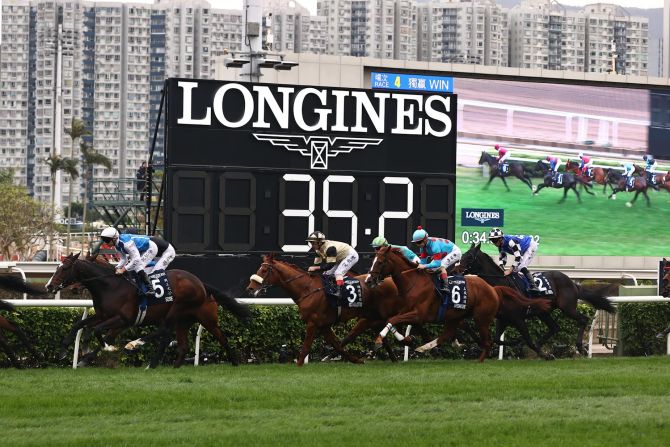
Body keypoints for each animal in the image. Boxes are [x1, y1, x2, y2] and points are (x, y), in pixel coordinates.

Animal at [46, 253, 251, 368]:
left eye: (64, 268)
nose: (49, 286)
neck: (110, 285)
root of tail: (202, 284)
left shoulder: (122, 319)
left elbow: (98, 333)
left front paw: (95, 352)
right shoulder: (104, 315)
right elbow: (80, 325)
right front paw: (65, 351)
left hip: (190, 313)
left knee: (214, 336)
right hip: (183, 321)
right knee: (181, 343)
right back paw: (166, 365)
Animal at [246, 254, 427, 366]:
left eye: (264, 270)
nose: (250, 288)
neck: (307, 289)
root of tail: (389, 280)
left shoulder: (313, 322)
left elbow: (305, 347)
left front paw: (298, 365)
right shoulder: (324, 325)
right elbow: (338, 345)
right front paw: (356, 360)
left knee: (401, 322)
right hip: (372, 316)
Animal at [364, 246, 514, 362]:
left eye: (380, 262)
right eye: (373, 261)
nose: (368, 281)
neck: (413, 283)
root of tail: (492, 288)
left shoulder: (418, 315)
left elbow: (392, 320)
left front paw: (379, 341)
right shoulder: (406, 312)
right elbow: (392, 320)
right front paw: (406, 340)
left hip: (481, 318)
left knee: (485, 340)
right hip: (455, 316)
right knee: (448, 333)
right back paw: (427, 347)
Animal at [458, 243, 615, 355]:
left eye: (469, 257)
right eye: (463, 255)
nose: (455, 269)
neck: (501, 284)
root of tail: (572, 283)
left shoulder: (518, 318)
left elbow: (527, 340)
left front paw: (539, 352)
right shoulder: (503, 318)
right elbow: (498, 340)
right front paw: (519, 343)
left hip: (567, 308)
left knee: (583, 319)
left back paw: (580, 347)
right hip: (543, 312)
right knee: (554, 327)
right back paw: (542, 344)